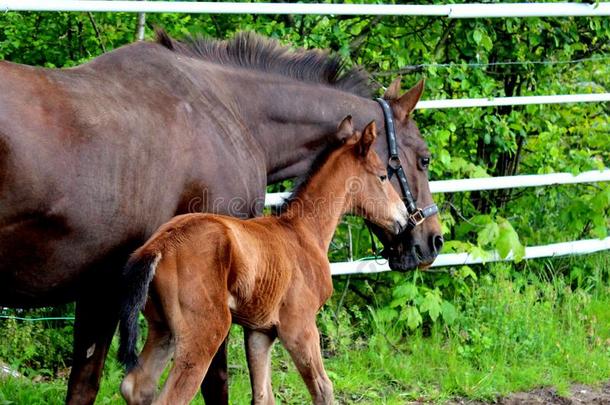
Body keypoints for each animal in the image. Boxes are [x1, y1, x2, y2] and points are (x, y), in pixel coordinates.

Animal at [116, 115, 406, 402]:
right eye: (382, 176)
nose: (404, 217)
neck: (302, 231)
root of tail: (159, 246)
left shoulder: (261, 331)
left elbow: (263, 395)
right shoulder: (299, 327)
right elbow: (323, 389)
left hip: (163, 328)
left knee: (135, 386)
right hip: (204, 333)